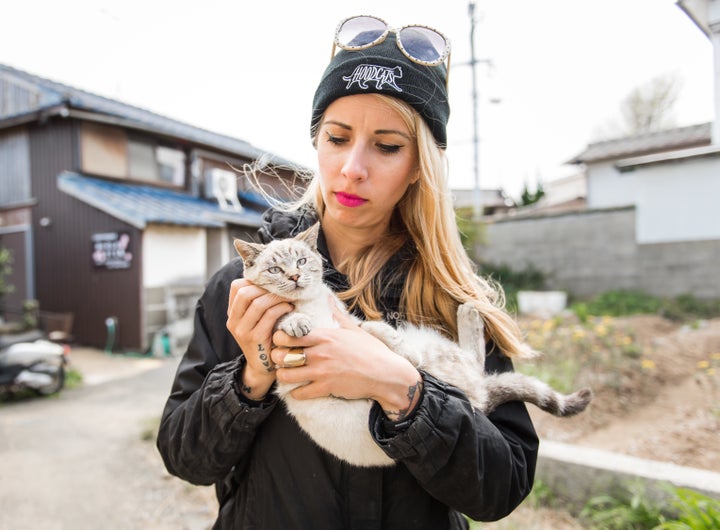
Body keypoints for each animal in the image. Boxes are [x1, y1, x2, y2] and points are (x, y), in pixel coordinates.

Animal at [233, 223, 592, 466]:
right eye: (276, 268)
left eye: (302, 262)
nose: (294, 277)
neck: (311, 304)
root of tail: (481, 397)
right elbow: (282, 319)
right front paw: (295, 321)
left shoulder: (353, 326)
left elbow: (374, 329)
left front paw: (398, 346)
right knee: (474, 364)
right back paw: (469, 315)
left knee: (472, 361)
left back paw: (465, 314)